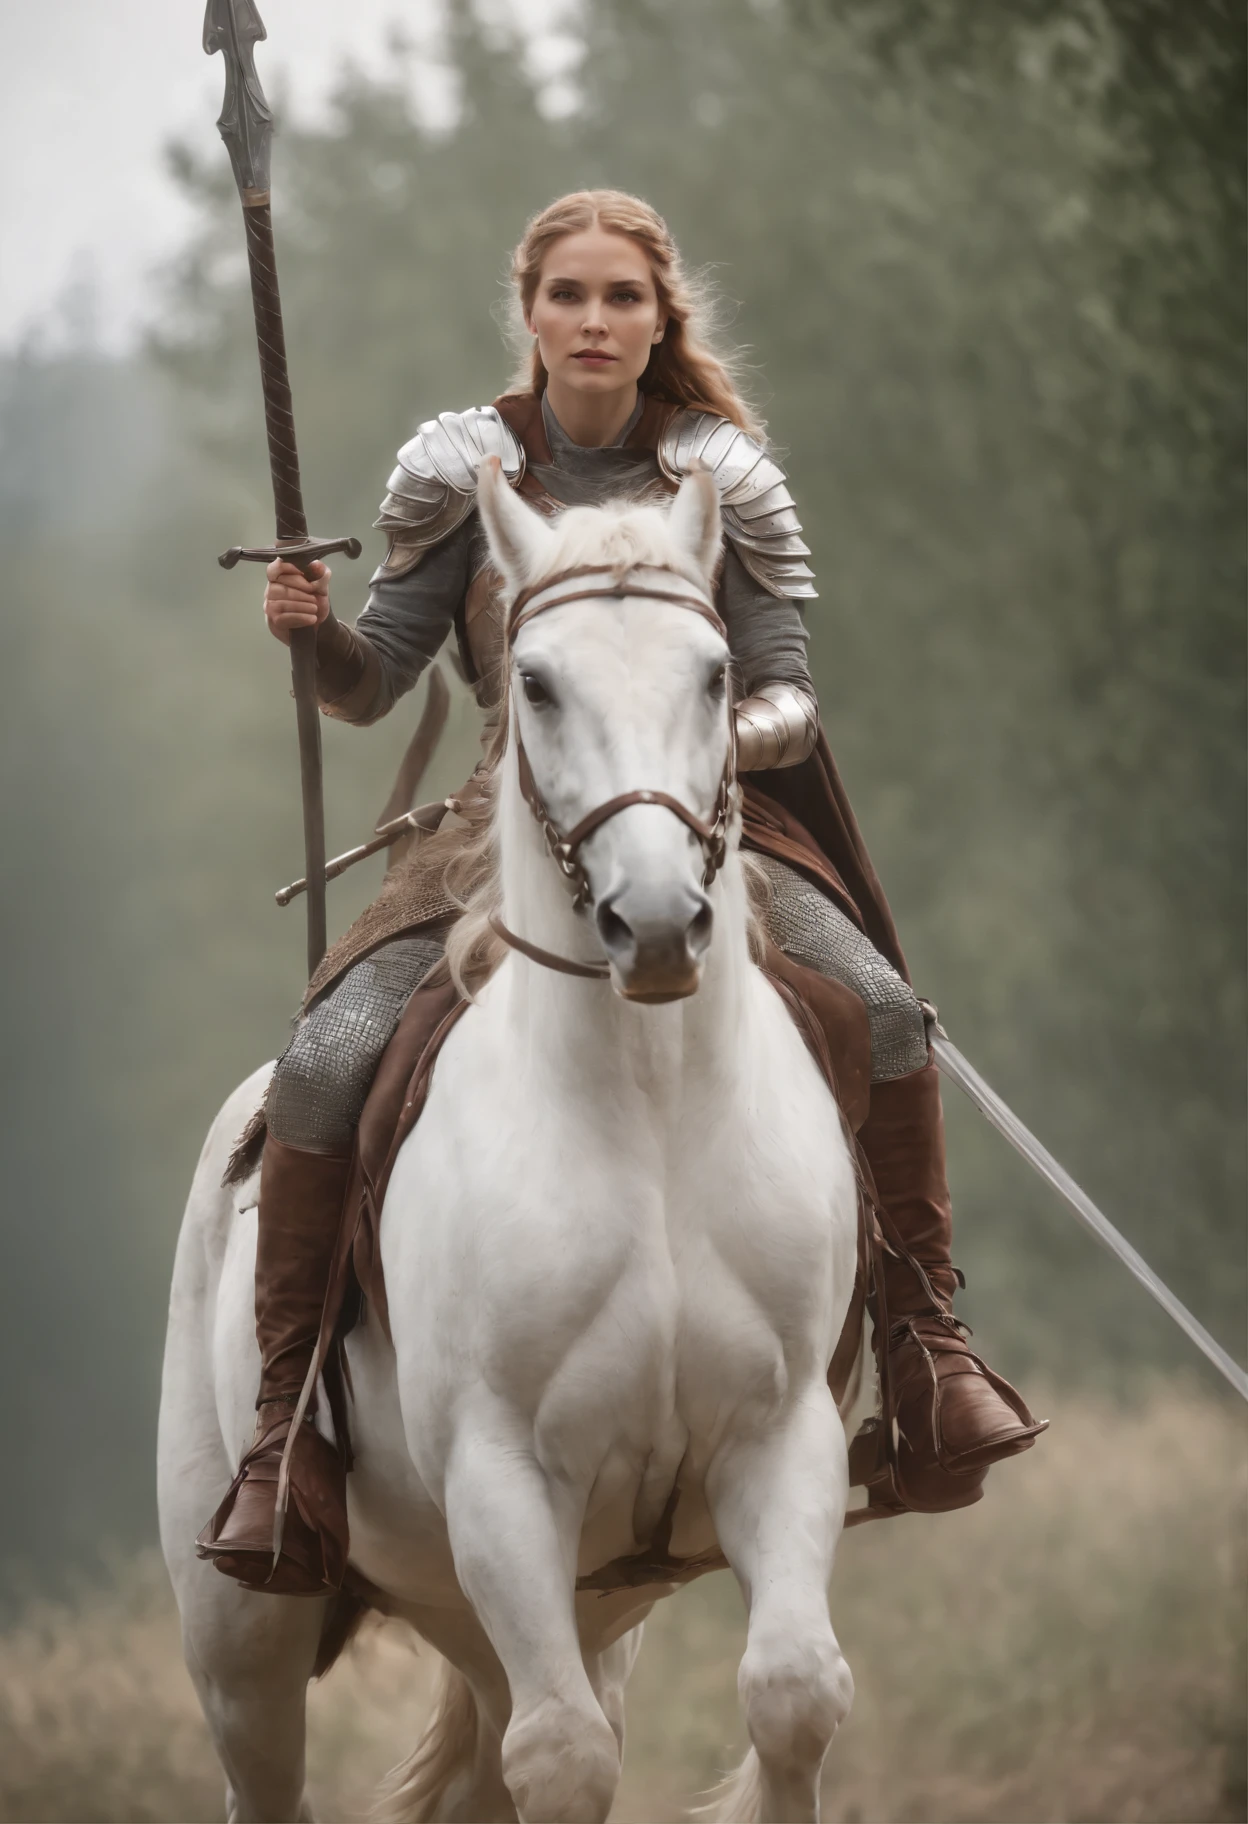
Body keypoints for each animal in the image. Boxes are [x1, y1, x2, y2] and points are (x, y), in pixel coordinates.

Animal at [158, 463, 857, 1816]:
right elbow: (565, 1758)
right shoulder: (501, 1481)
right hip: (241, 1638)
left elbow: (794, 1696)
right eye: (537, 683)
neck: (648, 1116)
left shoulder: (779, 1436)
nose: (656, 924)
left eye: (716, 675)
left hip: (565, 1615)